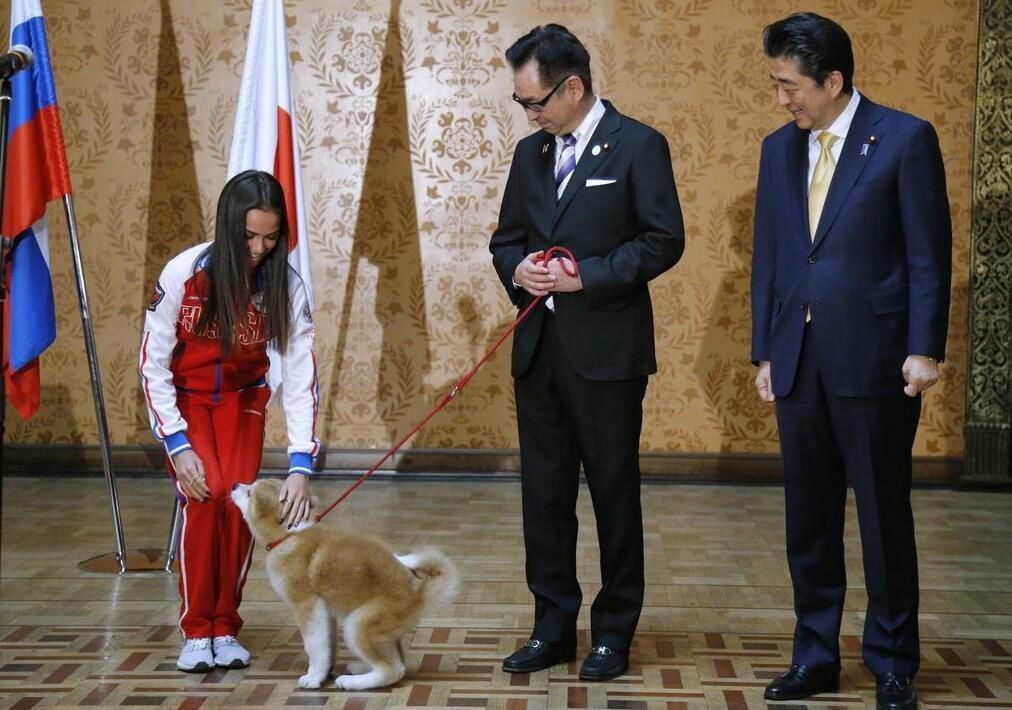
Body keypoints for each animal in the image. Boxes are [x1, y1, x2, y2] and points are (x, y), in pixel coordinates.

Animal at [231, 481, 457, 691]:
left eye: (250, 492)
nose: (234, 485)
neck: (289, 535)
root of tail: (418, 592)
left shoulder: (307, 605)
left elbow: (314, 646)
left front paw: (313, 677)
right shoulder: (323, 610)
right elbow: (327, 645)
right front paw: (324, 673)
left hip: (359, 624)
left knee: (393, 670)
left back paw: (353, 682)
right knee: (396, 659)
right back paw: (360, 668)